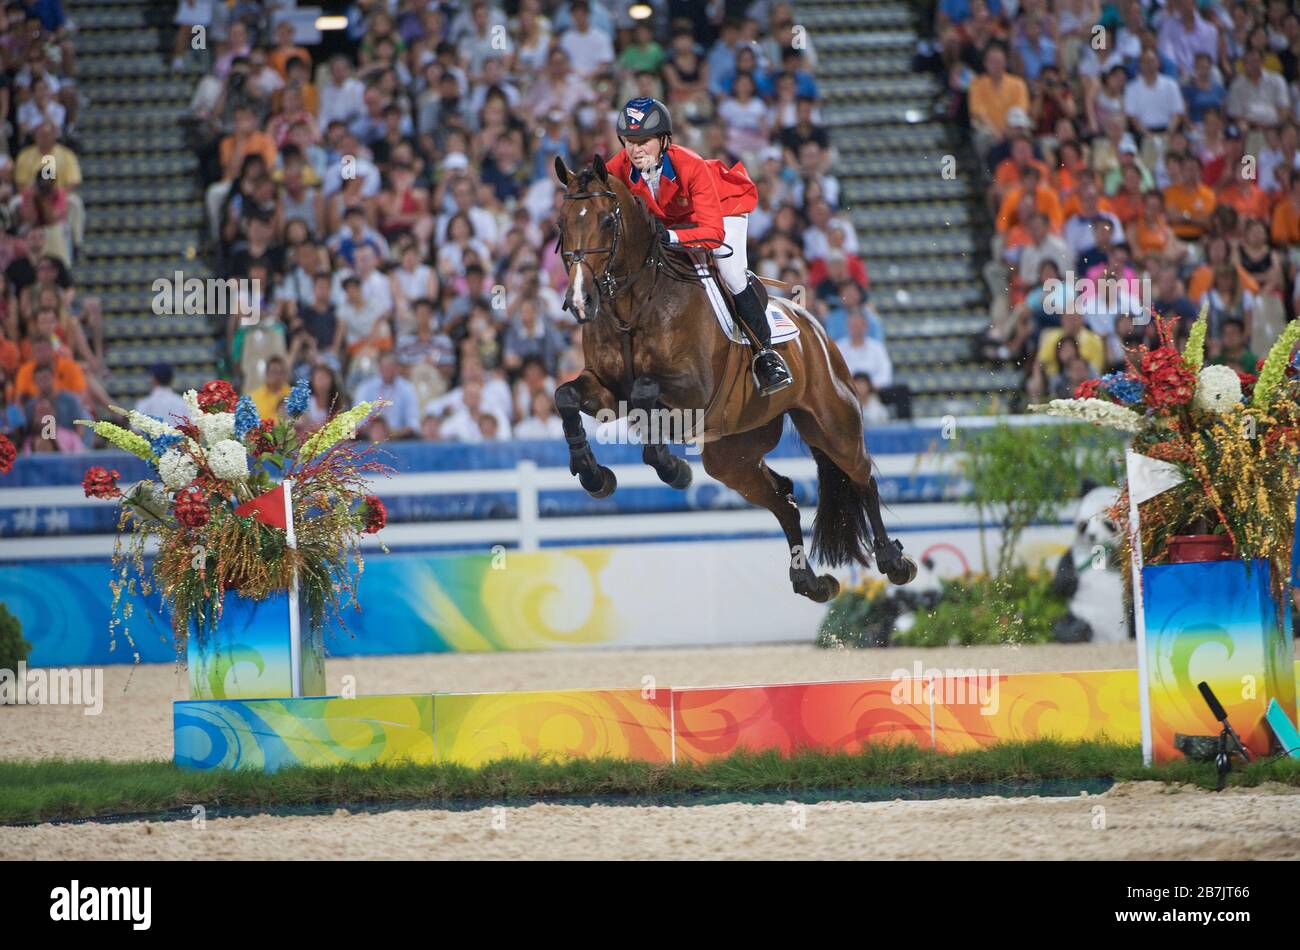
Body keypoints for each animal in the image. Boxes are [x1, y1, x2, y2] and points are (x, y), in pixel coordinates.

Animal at [553, 155, 920, 603]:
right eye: (561, 223)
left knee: (860, 472)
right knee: (782, 496)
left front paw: (671, 468)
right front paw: (594, 475)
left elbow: (645, 392)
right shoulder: (606, 388)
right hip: (732, 454)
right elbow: (566, 397)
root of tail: (813, 326)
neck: (634, 303)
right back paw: (810, 581)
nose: (579, 301)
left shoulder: (692, 390)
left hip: (833, 421)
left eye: (607, 221)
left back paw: (894, 561)